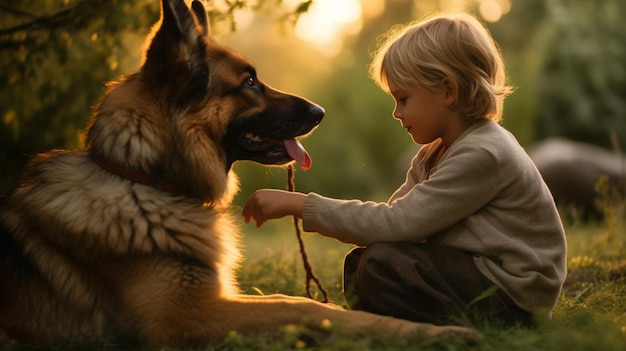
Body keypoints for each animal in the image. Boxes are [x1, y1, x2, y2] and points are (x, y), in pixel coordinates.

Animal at [1, 0, 478, 346]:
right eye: (248, 82)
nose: (320, 112)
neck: (144, 179)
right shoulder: (186, 315)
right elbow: (302, 306)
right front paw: (434, 332)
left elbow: (289, 298)